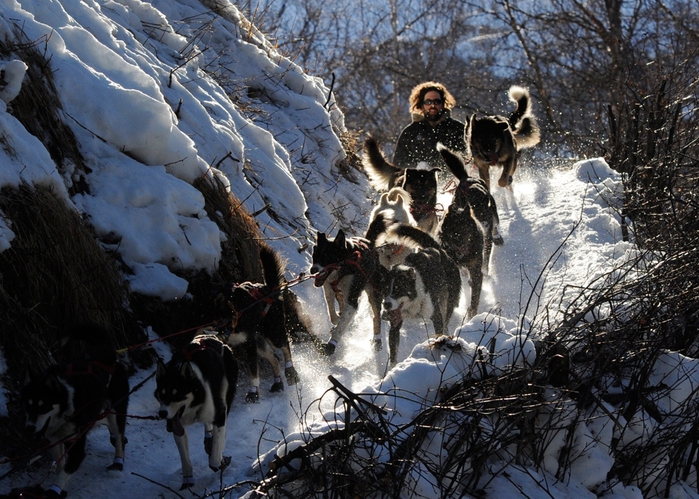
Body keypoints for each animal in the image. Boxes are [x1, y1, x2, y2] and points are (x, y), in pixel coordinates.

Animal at [22, 322, 130, 498]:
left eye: (44, 406)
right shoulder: (55, 442)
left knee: (120, 436)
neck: (66, 410)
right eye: (28, 405)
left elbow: (64, 471)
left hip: (116, 410)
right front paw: (62, 488)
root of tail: (105, 349)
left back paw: (118, 462)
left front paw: (54, 490)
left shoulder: (77, 447)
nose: (30, 428)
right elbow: (60, 467)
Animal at [155, 334, 238, 490]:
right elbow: (185, 458)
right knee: (209, 426)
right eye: (161, 395)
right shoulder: (178, 427)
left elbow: (215, 459)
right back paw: (208, 436)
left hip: (225, 397)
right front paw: (188, 479)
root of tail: (211, 337)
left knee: (223, 428)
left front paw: (219, 459)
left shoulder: (219, 414)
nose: (162, 414)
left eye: (177, 395)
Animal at [215, 247, 300, 406]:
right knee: (274, 358)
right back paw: (278, 383)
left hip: (272, 334)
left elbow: (253, 371)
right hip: (260, 343)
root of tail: (269, 289)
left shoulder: (249, 343)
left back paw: (291, 372)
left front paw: (253, 392)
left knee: (285, 347)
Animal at [312, 219, 388, 356]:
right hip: (341, 293)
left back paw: (377, 340)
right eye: (314, 256)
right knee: (342, 305)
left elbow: (341, 325)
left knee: (376, 317)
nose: (312, 270)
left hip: (373, 292)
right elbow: (331, 310)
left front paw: (331, 345)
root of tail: (369, 243)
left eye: (327, 258)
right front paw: (337, 319)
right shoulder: (329, 289)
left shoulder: (352, 300)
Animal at [438, 145, 504, 318]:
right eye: (453, 232)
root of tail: (467, 179)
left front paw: (472, 314)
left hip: (492, 221)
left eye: (465, 230)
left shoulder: (476, 265)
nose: (483, 222)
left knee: (492, 235)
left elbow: (475, 294)